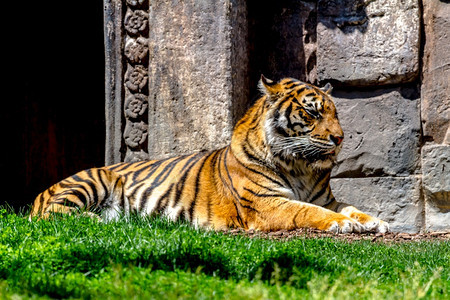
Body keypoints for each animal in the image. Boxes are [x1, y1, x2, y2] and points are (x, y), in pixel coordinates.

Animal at [29, 75, 390, 234]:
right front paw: (344, 224)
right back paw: (94, 219)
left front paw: (375, 220)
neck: (300, 166)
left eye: (335, 114)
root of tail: (38, 193)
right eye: (312, 113)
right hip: (94, 180)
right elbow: (307, 211)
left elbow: (350, 206)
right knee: (51, 214)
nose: (340, 138)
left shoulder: (326, 197)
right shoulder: (265, 204)